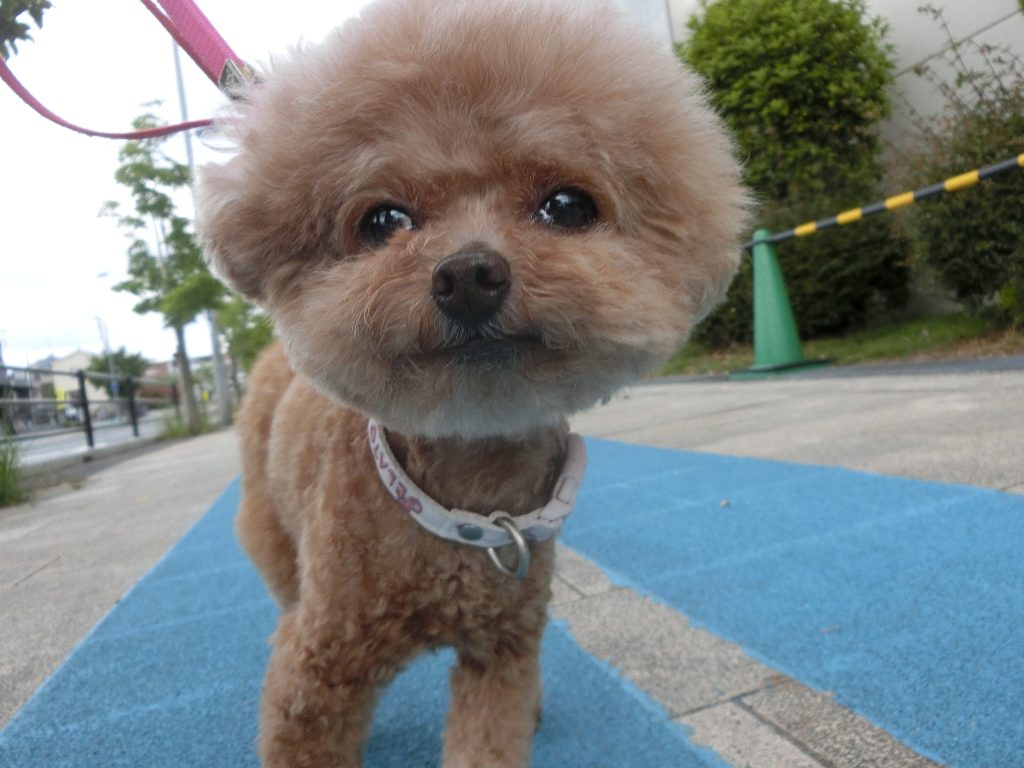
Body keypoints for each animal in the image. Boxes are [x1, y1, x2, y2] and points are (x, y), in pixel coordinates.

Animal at [196, 1, 746, 765]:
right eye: (383, 220)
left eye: (567, 207)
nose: (468, 274)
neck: (465, 503)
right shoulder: (318, 673)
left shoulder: (502, 651)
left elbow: (490, 734)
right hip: (272, 530)